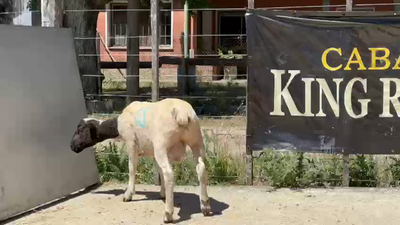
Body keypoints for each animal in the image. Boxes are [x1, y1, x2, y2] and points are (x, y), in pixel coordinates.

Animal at [69, 97, 212, 222]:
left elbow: (132, 168)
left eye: (80, 130)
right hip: (196, 142)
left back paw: (168, 214)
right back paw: (205, 206)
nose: (71, 146)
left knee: (169, 173)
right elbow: (158, 171)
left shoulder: (132, 143)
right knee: (201, 168)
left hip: (162, 144)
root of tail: (182, 114)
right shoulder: (153, 152)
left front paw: (128, 195)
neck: (118, 125)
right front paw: (163, 193)